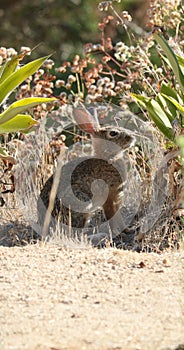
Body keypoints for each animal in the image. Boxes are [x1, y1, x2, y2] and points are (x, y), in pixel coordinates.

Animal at [37, 106, 135, 238]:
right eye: (113, 133)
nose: (133, 137)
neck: (108, 158)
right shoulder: (109, 198)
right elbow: (112, 217)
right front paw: (117, 233)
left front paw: (128, 230)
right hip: (80, 202)